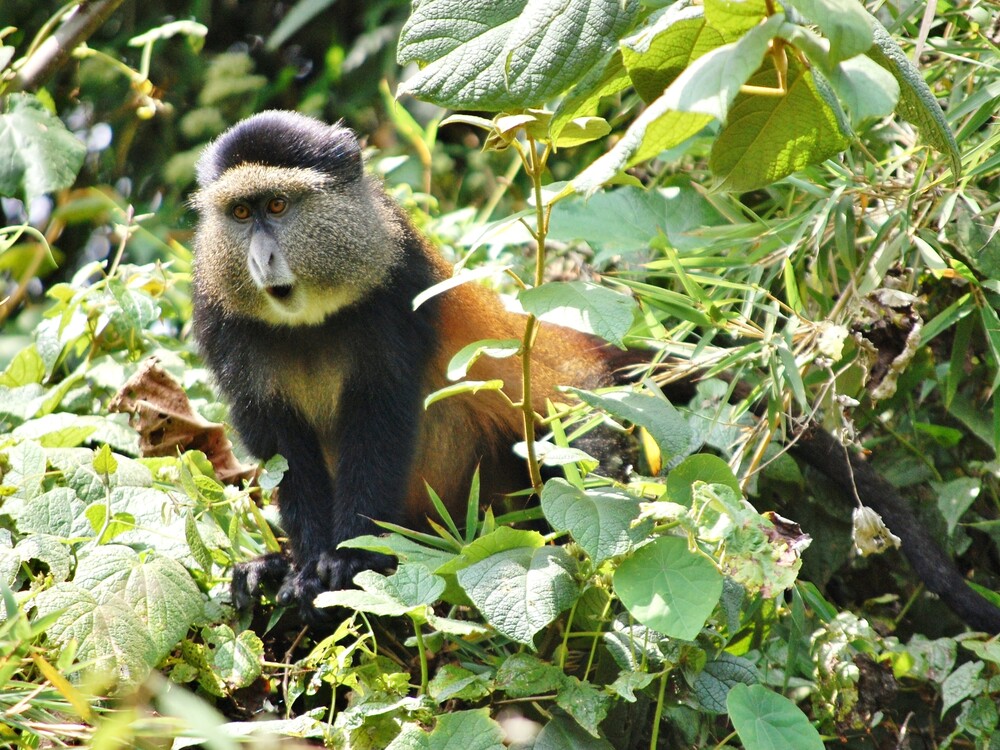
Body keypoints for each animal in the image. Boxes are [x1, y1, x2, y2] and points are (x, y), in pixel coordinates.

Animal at [191, 110, 1000, 633]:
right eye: (241, 216)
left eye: (279, 205)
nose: (263, 257)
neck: (315, 319)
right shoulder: (220, 322)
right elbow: (286, 457)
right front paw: (297, 570)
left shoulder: (397, 293)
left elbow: (381, 431)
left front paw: (343, 570)